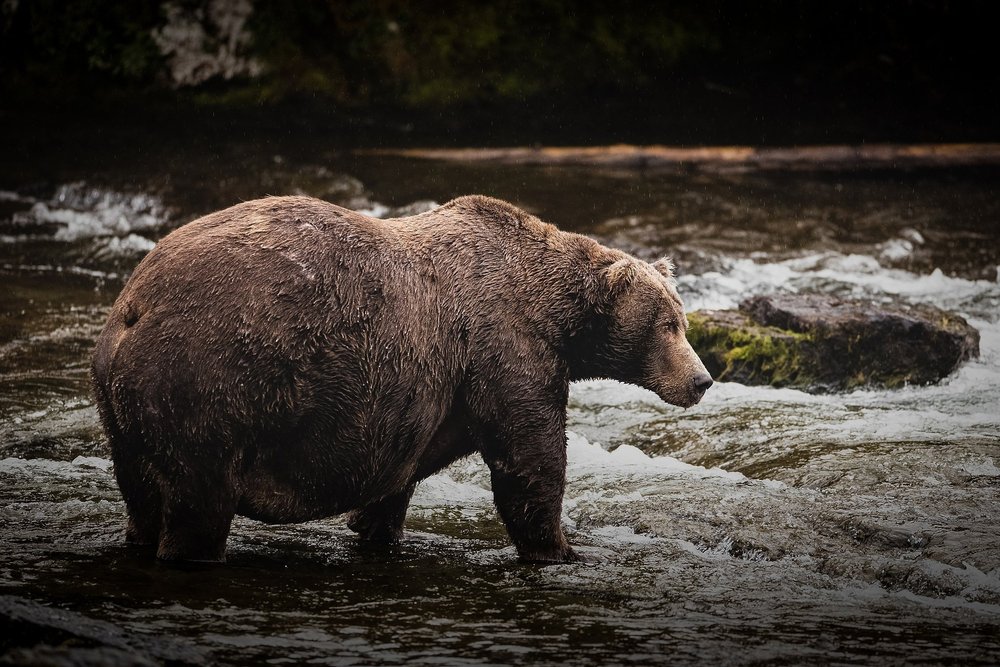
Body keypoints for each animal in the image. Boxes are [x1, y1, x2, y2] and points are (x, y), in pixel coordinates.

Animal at [91, 195, 712, 564]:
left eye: (683, 320)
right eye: (667, 325)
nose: (702, 380)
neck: (556, 314)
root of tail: (133, 305)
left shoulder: (426, 399)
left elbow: (396, 477)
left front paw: (375, 527)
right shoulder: (506, 348)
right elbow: (529, 461)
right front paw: (561, 548)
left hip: (124, 412)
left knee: (142, 496)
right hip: (209, 383)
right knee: (200, 502)